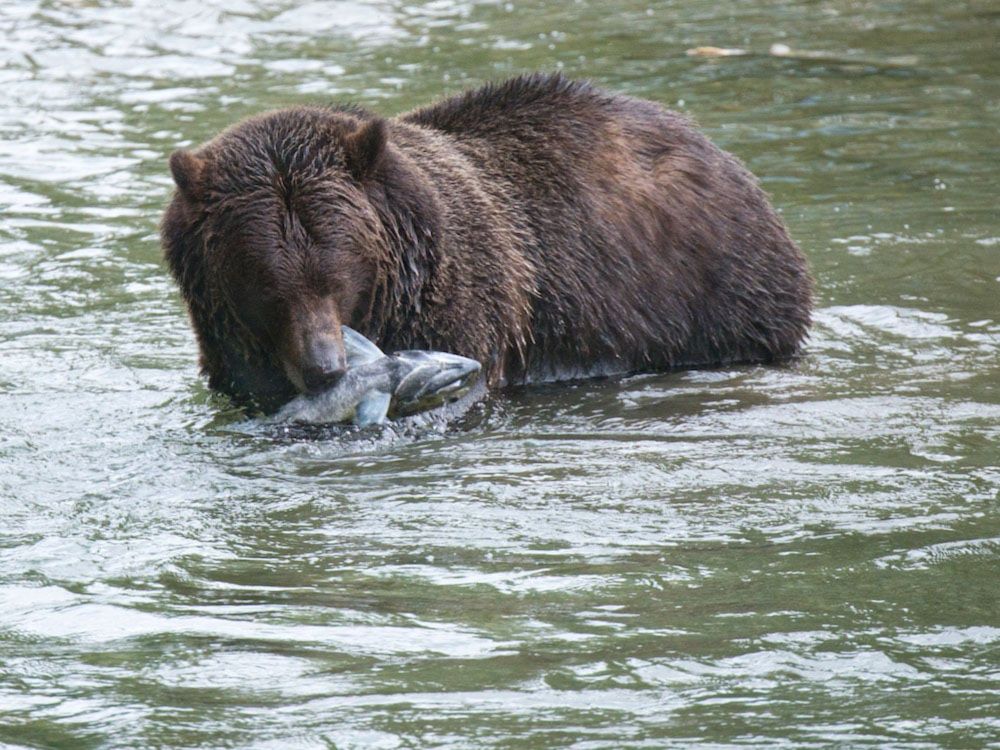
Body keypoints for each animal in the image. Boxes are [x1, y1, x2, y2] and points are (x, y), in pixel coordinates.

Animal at [162, 75, 812, 412]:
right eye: (265, 282)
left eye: (337, 274)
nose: (325, 368)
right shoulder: (233, 348)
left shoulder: (464, 306)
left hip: (706, 295)